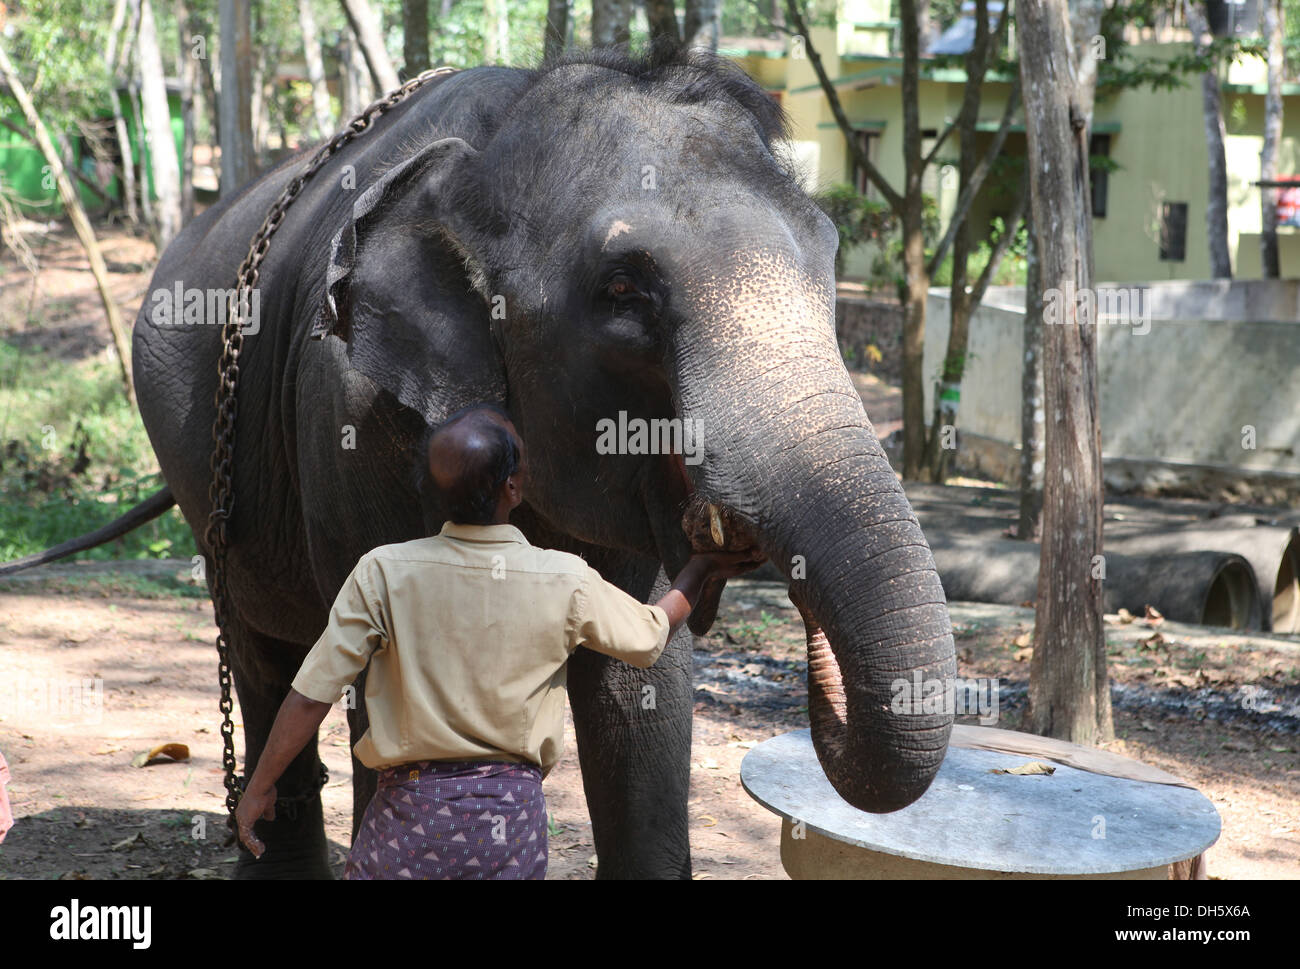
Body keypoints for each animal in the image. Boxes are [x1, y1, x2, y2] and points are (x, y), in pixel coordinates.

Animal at [32, 43, 967, 879]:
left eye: (831, 262)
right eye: (624, 292)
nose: (735, 538)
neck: (488, 152)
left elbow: (639, 674)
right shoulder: (345, 414)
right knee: (265, 652)